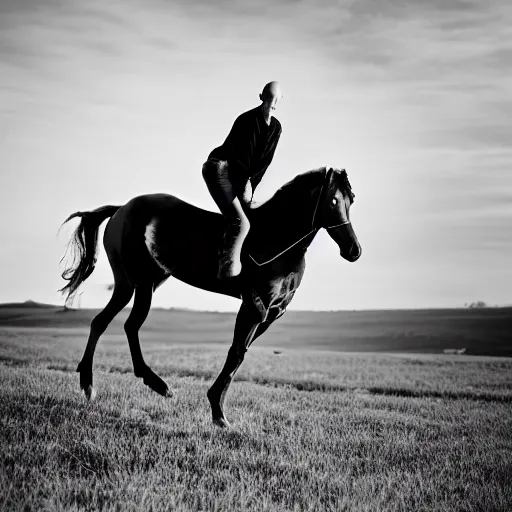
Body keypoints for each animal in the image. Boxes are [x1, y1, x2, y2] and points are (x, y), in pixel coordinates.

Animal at [60, 166, 360, 426]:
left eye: (351, 201)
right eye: (333, 200)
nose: (353, 250)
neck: (277, 240)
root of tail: (121, 209)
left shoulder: (272, 313)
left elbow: (240, 353)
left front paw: (216, 407)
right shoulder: (254, 305)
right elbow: (236, 354)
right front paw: (218, 413)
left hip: (134, 283)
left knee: (103, 322)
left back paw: (92, 384)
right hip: (141, 283)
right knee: (128, 324)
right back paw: (153, 385)